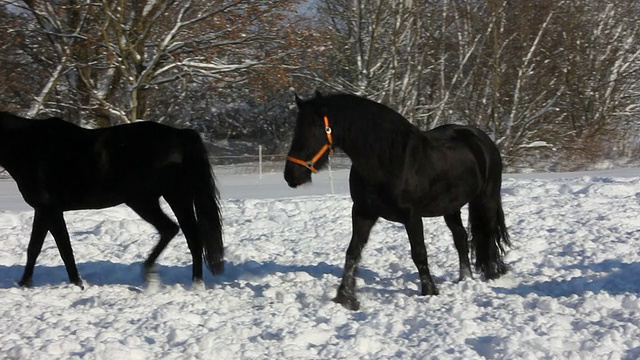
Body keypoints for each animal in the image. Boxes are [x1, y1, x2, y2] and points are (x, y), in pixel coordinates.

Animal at [0, 111, 225, 288]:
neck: (31, 147)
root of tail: (180, 135)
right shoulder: (45, 210)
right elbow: (38, 248)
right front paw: (26, 283)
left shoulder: (49, 209)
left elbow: (60, 249)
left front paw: (76, 284)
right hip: (151, 200)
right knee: (173, 230)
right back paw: (153, 273)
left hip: (166, 197)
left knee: (189, 236)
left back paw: (192, 283)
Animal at [284, 90, 510, 310]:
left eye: (314, 130)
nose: (291, 176)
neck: (388, 159)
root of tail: (482, 139)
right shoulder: (363, 212)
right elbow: (352, 253)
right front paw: (345, 298)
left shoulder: (412, 216)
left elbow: (419, 253)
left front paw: (430, 291)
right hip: (450, 207)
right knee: (461, 238)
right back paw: (466, 279)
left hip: (486, 199)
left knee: (488, 235)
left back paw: (491, 274)